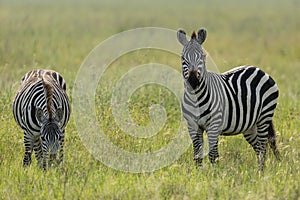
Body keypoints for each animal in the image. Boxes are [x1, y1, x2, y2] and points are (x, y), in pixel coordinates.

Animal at [177, 28, 280, 171]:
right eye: (183, 58)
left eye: (203, 56)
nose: (193, 80)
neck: (195, 98)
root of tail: (259, 69)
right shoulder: (192, 126)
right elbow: (197, 156)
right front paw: (198, 173)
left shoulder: (214, 126)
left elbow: (213, 156)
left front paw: (215, 174)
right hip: (250, 125)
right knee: (258, 147)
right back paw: (259, 171)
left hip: (264, 117)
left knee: (263, 147)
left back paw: (261, 172)